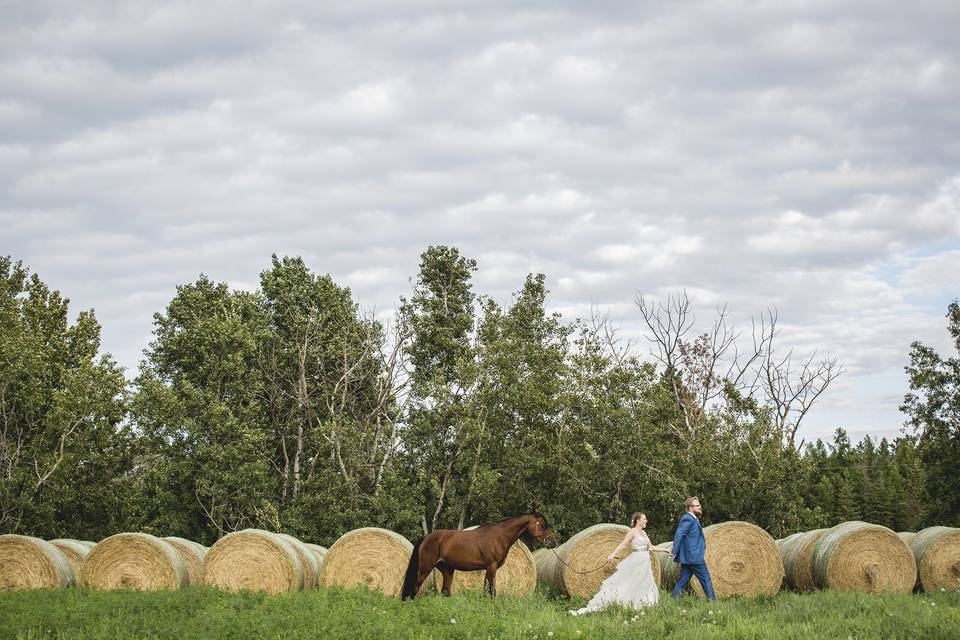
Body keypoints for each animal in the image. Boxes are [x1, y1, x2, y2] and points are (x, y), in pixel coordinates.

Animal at [402, 510, 560, 600]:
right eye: (542, 525)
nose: (553, 542)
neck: (499, 536)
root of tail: (427, 537)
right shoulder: (492, 567)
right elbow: (492, 590)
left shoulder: (488, 569)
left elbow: (486, 590)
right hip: (425, 569)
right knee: (415, 588)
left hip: (447, 570)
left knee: (445, 592)